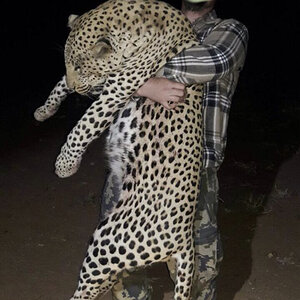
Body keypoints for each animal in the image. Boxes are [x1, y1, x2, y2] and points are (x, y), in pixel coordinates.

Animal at [34, 0, 204, 300]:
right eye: (68, 63)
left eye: (81, 66)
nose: (77, 85)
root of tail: (184, 240)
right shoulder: (106, 79)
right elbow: (61, 84)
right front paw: (45, 110)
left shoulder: (120, 84)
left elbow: (86, 123)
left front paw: (65, 166)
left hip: (107, 244)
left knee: (87, 288)